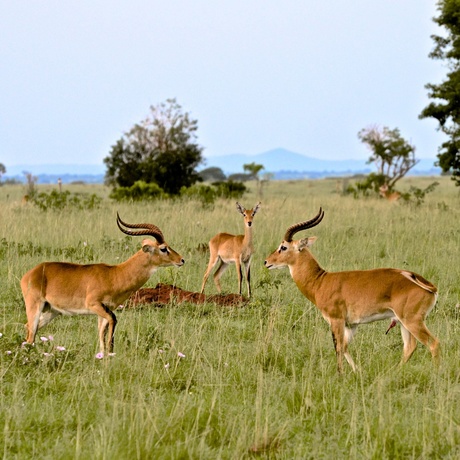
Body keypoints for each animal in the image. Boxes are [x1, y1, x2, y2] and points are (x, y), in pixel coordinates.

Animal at [19, 214, 185, 358]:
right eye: (163, 248)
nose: (181, 260)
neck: (115, 274)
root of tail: (32, 272)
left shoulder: (104, 311)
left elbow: (101, 336)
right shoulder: (95, 305)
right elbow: (112, 324)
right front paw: (110, 354)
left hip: (52, 311)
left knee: (28, 329)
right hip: (35, 306)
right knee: (31, 333)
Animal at [262, 208, 438, 374]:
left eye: (283, 247)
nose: (266, 262)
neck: (321, 281)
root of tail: (426, 283)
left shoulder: (336, 320)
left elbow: (338, 348)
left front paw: (340, 374)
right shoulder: (351, 324)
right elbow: (345, 347)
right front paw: (357, 371)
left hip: (412, 321)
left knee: (433, 344)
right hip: (402, 322)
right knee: (409, 347)